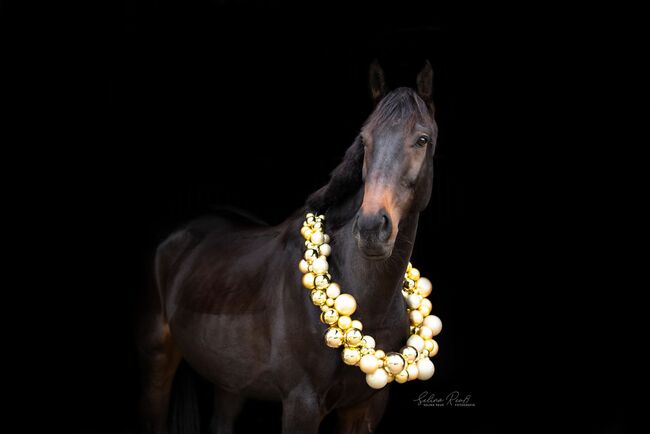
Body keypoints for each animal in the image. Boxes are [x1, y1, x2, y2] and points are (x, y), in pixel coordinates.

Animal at [137, 60, 438, 434]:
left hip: (230, 380)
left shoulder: (364, 409)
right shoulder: (301, 403)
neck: (368, 296)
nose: (371, 228)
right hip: (157, 360)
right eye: (365, 141)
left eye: (422, 139)